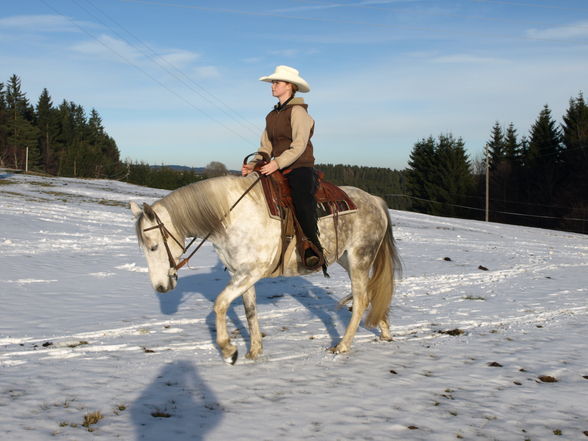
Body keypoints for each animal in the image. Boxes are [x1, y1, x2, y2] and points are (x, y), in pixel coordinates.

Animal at [131, 173, 402, 364]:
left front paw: (228, 350)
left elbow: (220, 304)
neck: (231, 216)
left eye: (154, 246)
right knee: (370, 294)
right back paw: (385, 332)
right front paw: (254, 351)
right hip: (348, 259)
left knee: (360, 299)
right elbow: (249, 310)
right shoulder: (240, 273)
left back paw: (343, 345)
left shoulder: (251, 272)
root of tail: (375, 201)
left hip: (359, 259)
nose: (160, 286)